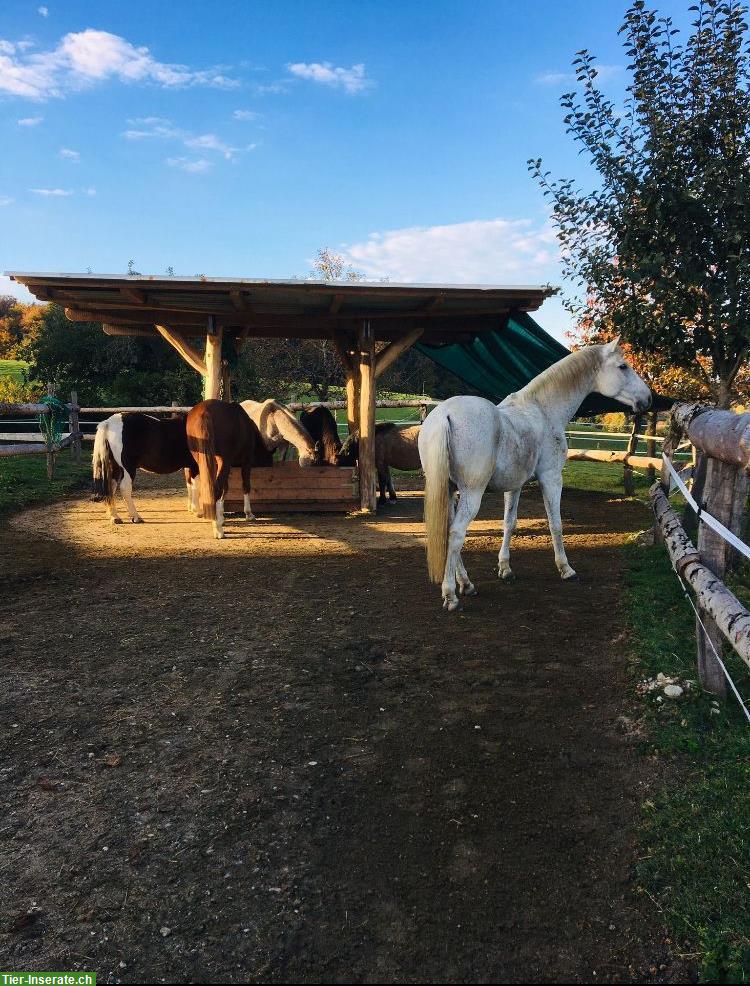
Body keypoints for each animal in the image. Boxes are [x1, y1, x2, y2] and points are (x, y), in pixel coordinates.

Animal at [186, 400, 270, 540]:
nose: (270, 463)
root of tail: (205, 412)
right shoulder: (246, 460)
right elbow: (245, 485)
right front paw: (248, 513)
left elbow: (225, 488)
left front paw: (221, 516)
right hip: (223, 460)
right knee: (216, 488)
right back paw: (218, 530)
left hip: (200, 459)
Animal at [420, 342, 656, 612]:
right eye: (623, 366)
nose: (648, 399)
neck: (543, 409)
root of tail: (444, 414)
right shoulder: (551, 478)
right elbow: (556, 524)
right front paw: (566, 569)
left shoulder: (514, 486)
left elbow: (509, 523)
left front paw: (505, 569)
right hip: (471, 492)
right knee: (456, 534)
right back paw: (451, 595)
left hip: (450, 490)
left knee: (449, 532)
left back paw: (467, 584)